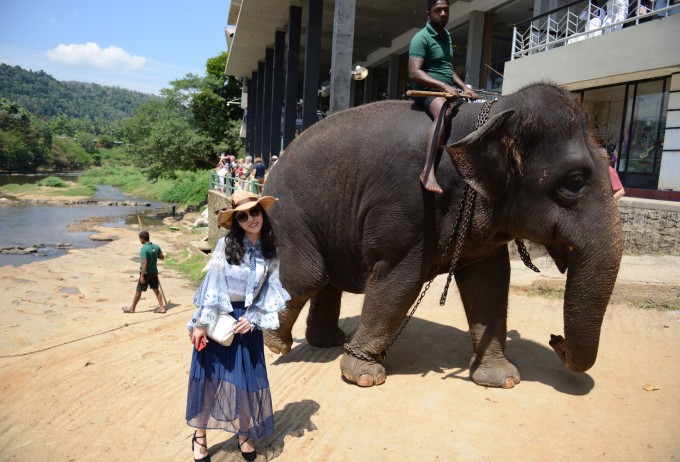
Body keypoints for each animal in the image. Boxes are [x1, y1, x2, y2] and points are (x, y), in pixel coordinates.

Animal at [262, 81, 624, 388]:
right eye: (573, 182)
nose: (555, 340)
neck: (491, 114)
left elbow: (490, 281)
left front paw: (502, 380)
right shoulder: (409, 204)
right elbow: (398, 280)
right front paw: (362, 376)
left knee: (325, 280)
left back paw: (328, 341)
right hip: (287, 212)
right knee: (308, 275)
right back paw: (276, 343)